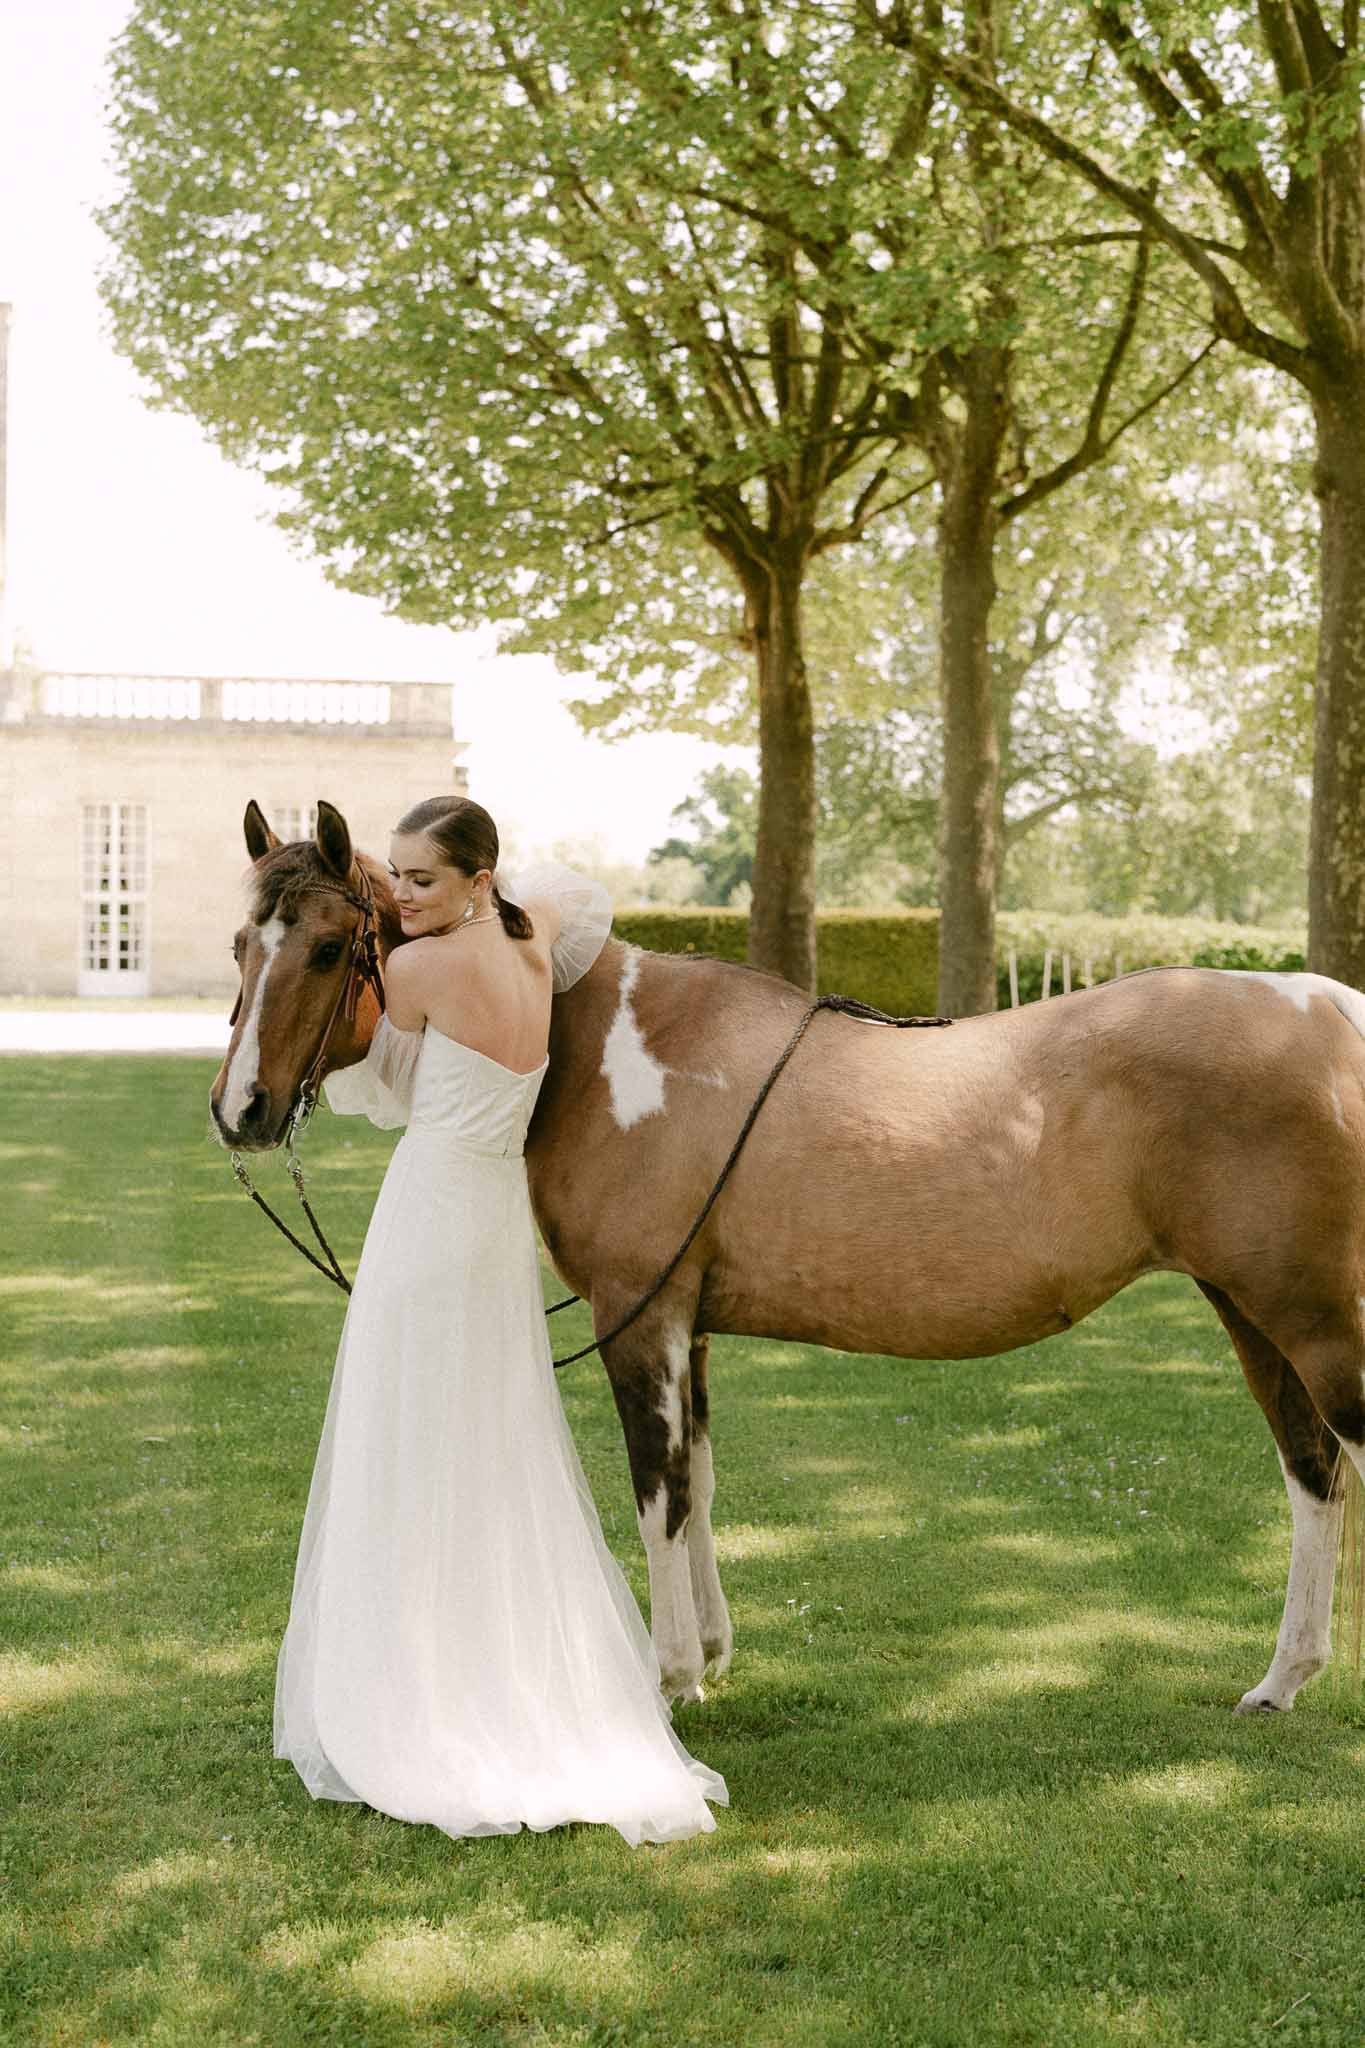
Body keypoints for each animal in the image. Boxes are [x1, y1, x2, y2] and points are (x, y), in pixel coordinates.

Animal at [212, 798, 1365, 1715]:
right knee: (1313, 1478)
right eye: (238, 945)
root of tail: (1337, 1013)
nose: (241, 1111)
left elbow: (659, 1491)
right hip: (1252, 1311)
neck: (586, 1038)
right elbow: (702, 1482)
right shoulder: (687, 1323)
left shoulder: (638, 1317)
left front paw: (670, 1678)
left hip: (1315, 1325)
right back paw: (1282, 1680)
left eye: (328, 948)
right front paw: (713, 1651)